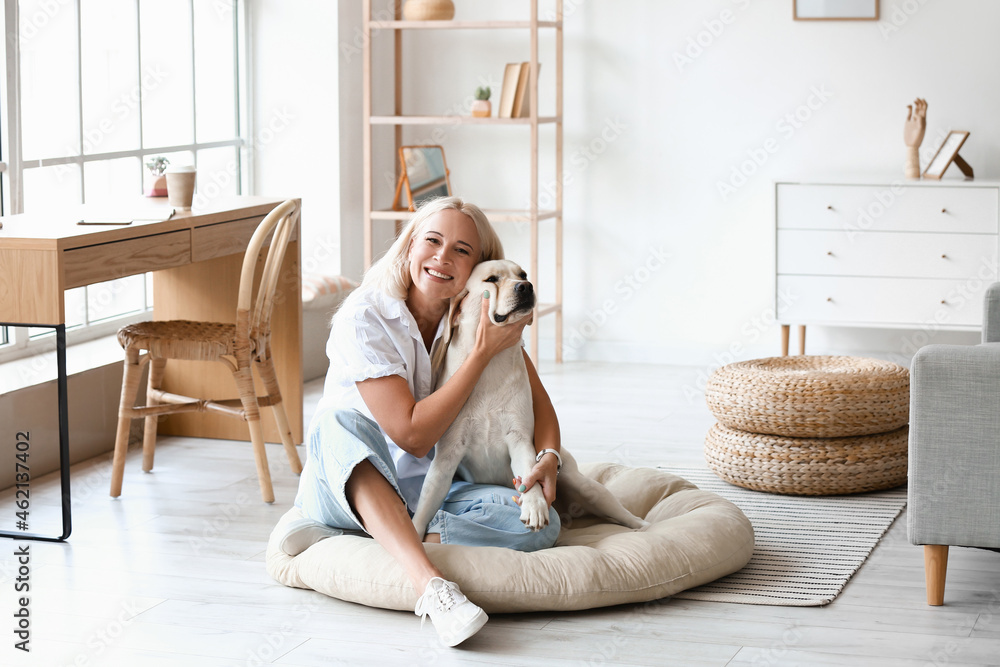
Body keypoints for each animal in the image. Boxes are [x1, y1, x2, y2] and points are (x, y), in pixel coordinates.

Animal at [408, 258, 648, 540]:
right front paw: (414, 532)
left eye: (522, 274)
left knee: (616, 509)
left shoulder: (519, 439)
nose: (526, 286)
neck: (489, 363)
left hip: (583, 485)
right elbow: (425, 506)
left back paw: (643, 526)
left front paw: (534, 505)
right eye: (491, 279)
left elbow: (529, 476)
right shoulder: (447, 456)